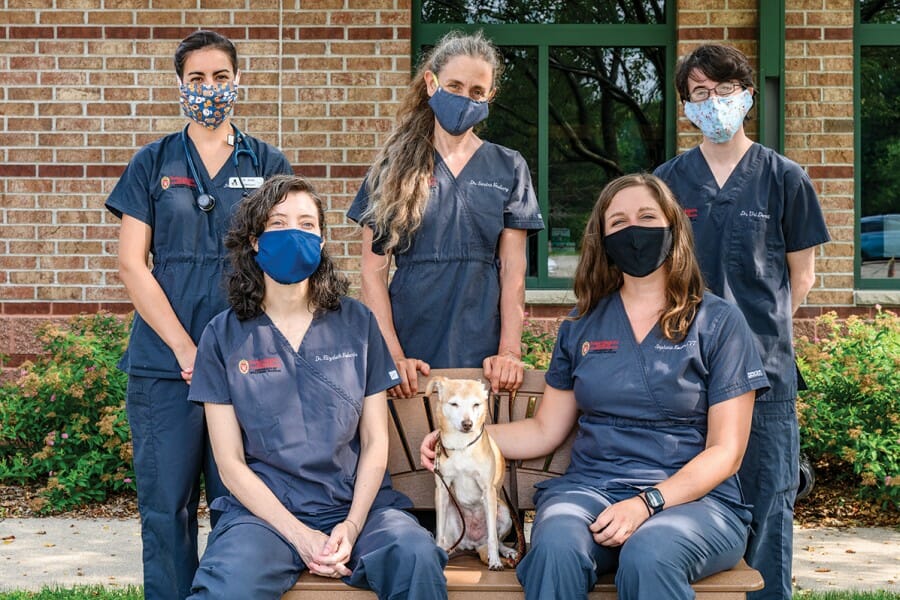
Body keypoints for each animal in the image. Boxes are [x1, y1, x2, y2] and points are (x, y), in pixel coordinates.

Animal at [428, 378, 520, 568]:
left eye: (476, 404)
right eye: (454, 404)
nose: (467, 424)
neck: (461, 445)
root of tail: (474, 544)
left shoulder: (488, 491)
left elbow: (493, 538)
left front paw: (495, 561)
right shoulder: (442, 491)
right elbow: (439, 533)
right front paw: (438, 551)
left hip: (504, 511)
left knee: (497, 539)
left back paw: (506, 552)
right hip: (450, 512)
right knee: (449, 539)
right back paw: (448, 549)